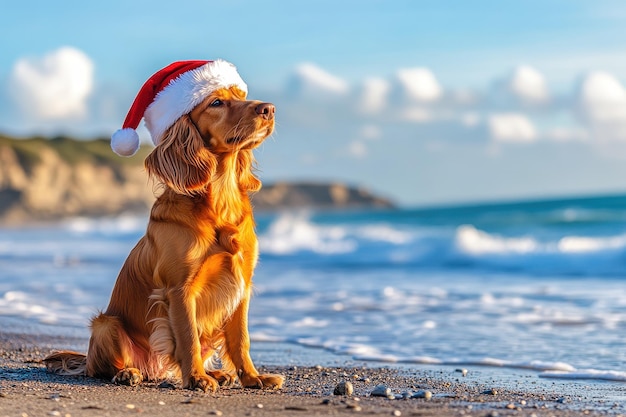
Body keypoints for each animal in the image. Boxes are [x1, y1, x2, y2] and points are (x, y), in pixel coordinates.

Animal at [45, 74, 284, 390]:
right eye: (216, 103)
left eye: (241, 96)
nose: (269, 109)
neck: (220, 201)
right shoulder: (179, 289)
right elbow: (188, 337)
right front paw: (197, 378)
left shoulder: (241, 285)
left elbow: (241, 339)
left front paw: (253, 377)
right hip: (106, 325)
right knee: (104, 367)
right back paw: (129, 372)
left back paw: (219, 374)